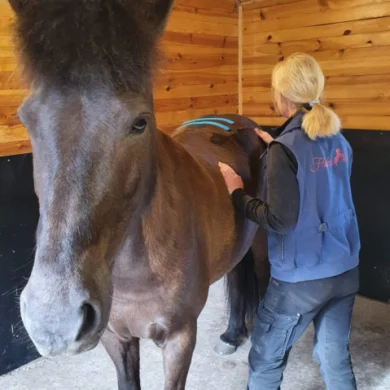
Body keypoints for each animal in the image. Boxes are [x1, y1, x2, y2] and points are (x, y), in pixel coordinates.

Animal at [11, 1, 268, 388]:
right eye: (27, 119)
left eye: (140, 122)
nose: (54, 321)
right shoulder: (115, 338)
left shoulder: (179, 339)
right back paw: (231, 334)